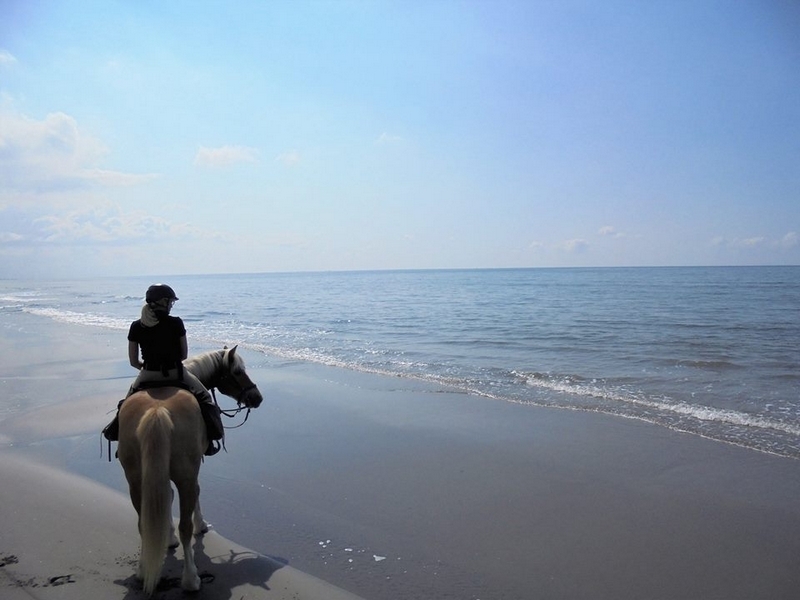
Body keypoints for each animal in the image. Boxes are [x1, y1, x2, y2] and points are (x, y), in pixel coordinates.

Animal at [119, 346, 262, 596]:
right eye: (237, 371)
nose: (257, 397)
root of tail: (157, 409)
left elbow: (166, 496)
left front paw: (168, 537)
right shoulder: (193, 469)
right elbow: (196, 493)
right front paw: (200, 525)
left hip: (135, 480)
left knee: (142, 523)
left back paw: (143, 570)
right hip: (185, 475)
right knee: (185, 525)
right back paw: (191, 579)